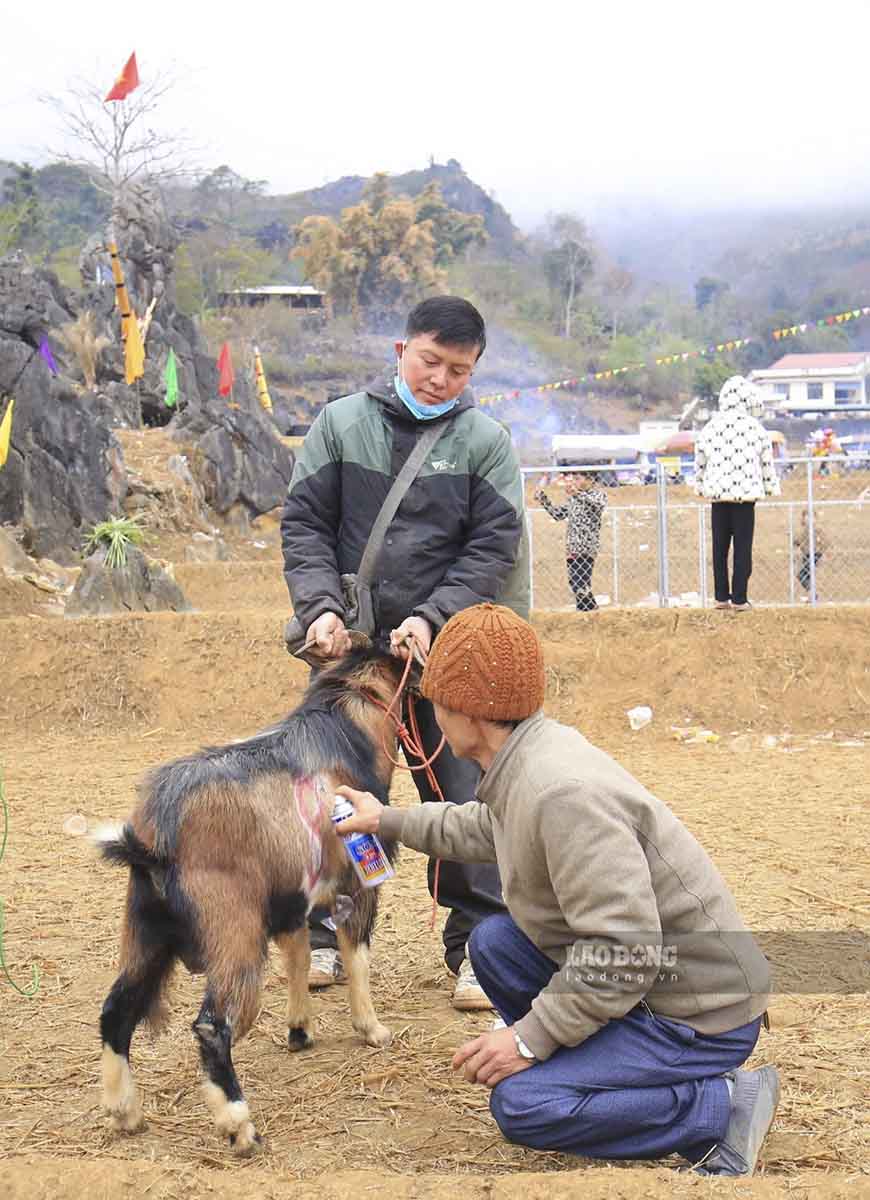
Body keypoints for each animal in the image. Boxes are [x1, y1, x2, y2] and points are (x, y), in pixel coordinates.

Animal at [94, 648, 403, 1152]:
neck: (345, 727)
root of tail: (155, 837)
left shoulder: (292, 900)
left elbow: (298, 956)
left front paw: (300, 1030)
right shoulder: (356, 885)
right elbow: (357, 956)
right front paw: (372, 1029)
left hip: (147, 929)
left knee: (116, 1011)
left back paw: (125, 1112)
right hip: (232, 932)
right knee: (211, 1026)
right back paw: (239, 1124)